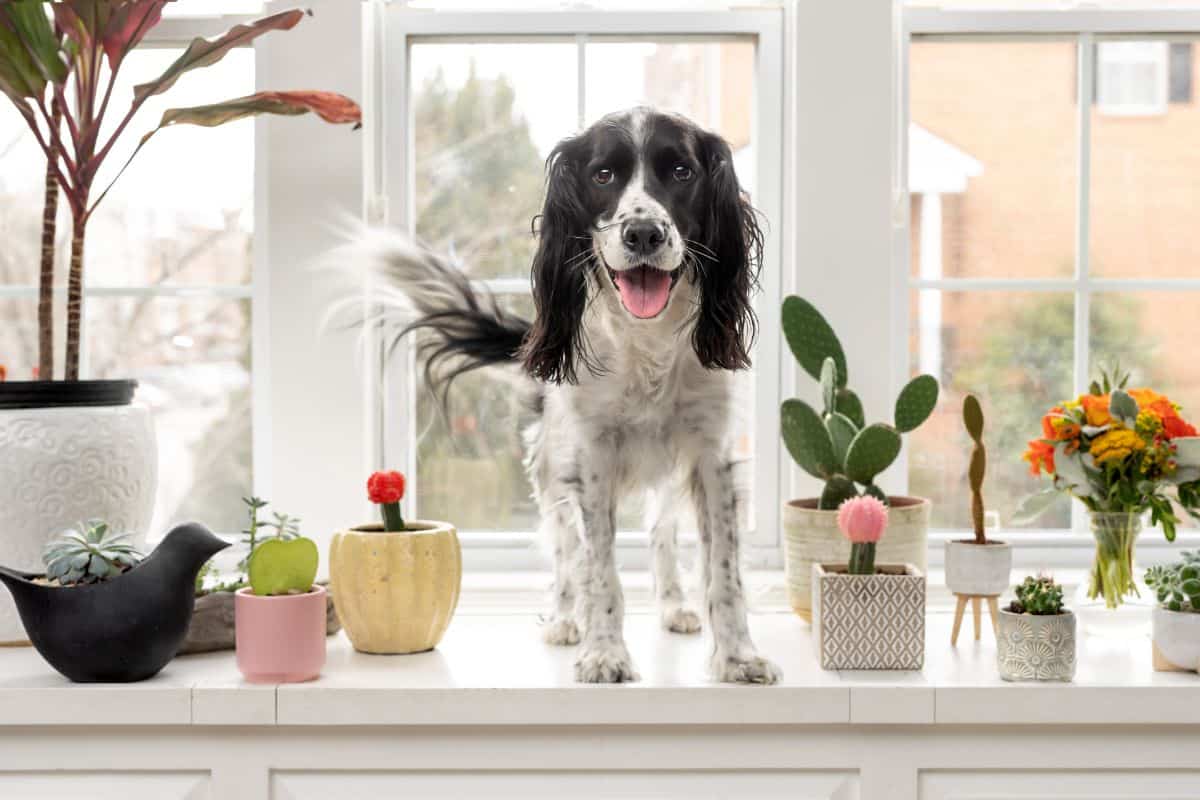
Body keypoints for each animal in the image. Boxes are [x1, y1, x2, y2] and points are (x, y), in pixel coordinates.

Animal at [360, 104, 782, 681]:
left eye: (682, 172)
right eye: (603, 175)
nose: (644, 233)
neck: (646, 346)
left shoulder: (709, 454)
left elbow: (724, 571)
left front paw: (737, 656)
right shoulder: (592, 456)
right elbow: (598, 568)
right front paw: (604, 652)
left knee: (660, 530)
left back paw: (673, 605)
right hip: (551, 462)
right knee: (564, 547)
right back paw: (564, 618)